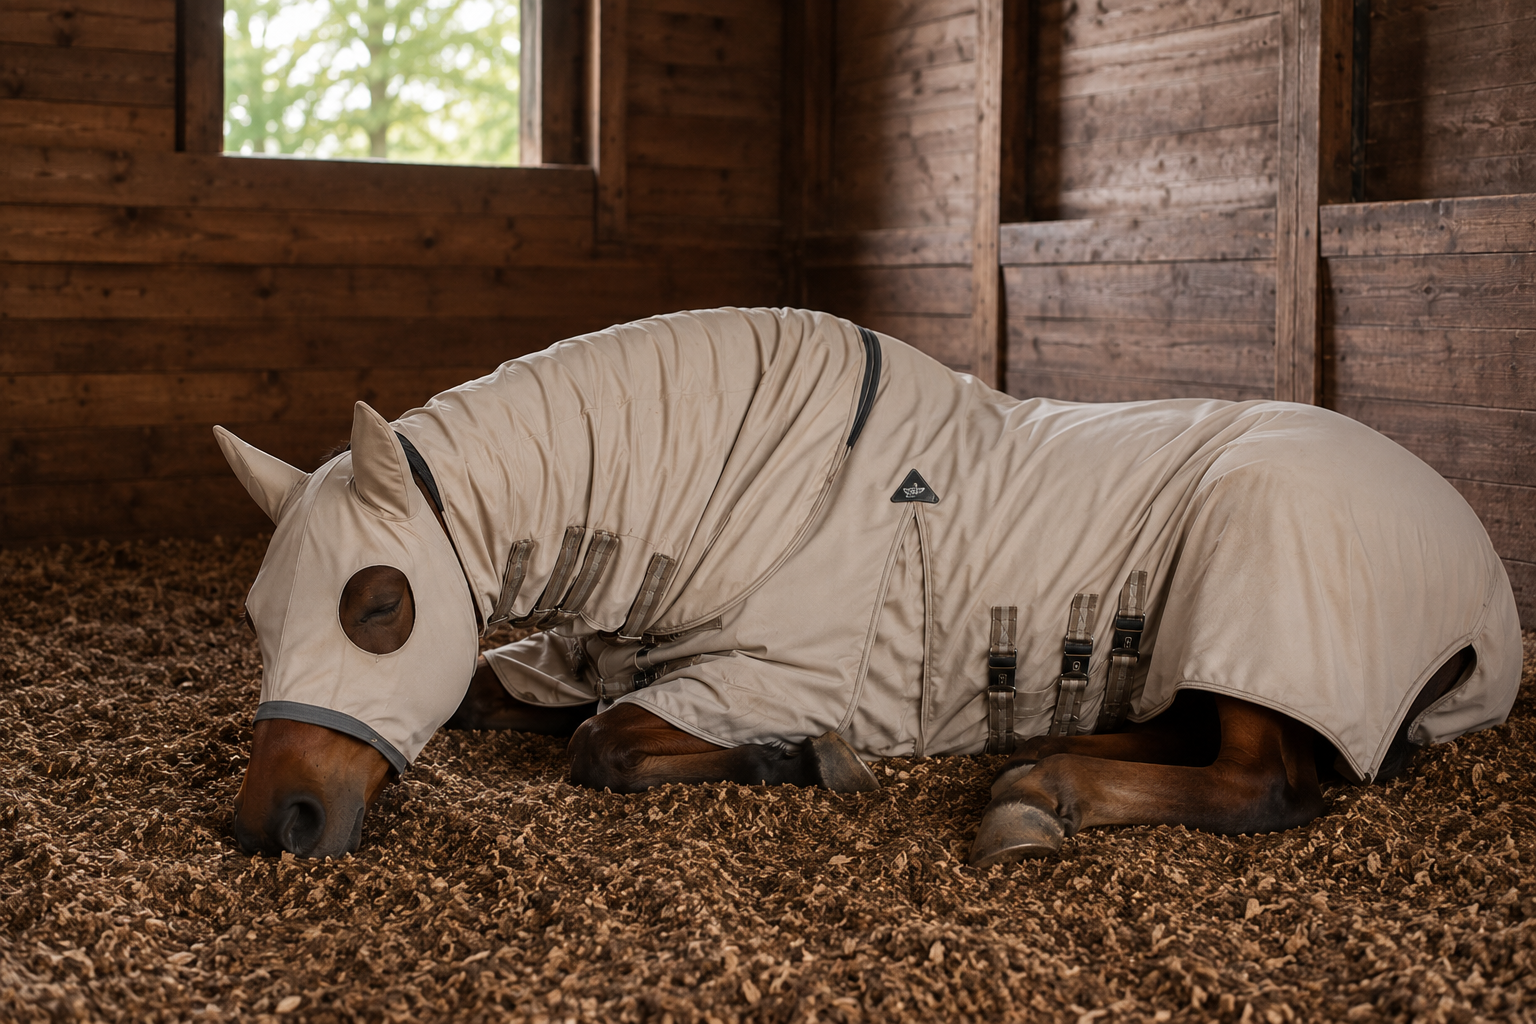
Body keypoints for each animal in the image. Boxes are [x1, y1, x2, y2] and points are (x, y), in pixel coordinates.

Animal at [223, 308, 1520, 864]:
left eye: (377, 606)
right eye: (258, 618)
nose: (272, 823)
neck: (724, 482)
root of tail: (1484, 576)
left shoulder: (757, 675)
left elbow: (603, 745)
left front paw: (802, 760)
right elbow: (511, 695)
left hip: (1262, 590)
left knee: (1264, 784)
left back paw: (1038, 797)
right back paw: (1035, 758)